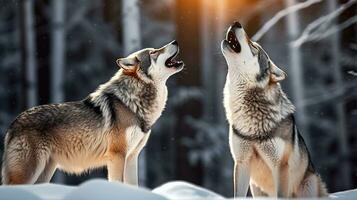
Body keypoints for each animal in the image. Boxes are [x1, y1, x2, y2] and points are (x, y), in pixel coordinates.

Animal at [2, 40, 185, 184]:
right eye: (154, 52)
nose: (175, 41)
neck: (132, 103)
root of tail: (13, 123)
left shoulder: (132, 157)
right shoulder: (117, 155)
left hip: (46, 171)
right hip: (29, 172)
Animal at [221, 21, 326, 198]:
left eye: (254, 47)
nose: (236, 23)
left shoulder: (280, 166)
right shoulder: (241, 163)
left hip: (307, 186)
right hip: (256, 188)